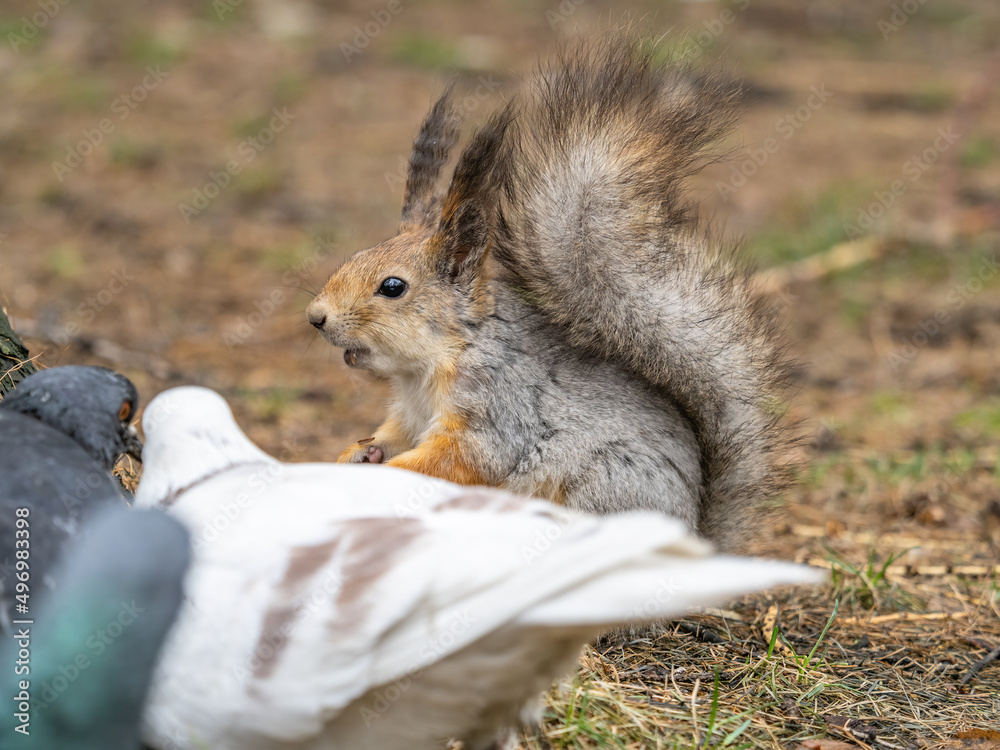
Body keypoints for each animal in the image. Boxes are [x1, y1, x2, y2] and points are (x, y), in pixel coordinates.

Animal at [306, 38, 795, 553]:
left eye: (392, 287)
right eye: (357, 255)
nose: (316, 316)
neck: (428, 367)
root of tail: (693, 538)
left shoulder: (497, 407)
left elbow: (463, 460)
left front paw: (388, 474)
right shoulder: (407, 415)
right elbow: (392, 435)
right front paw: (354, 454)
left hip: (604, 485)